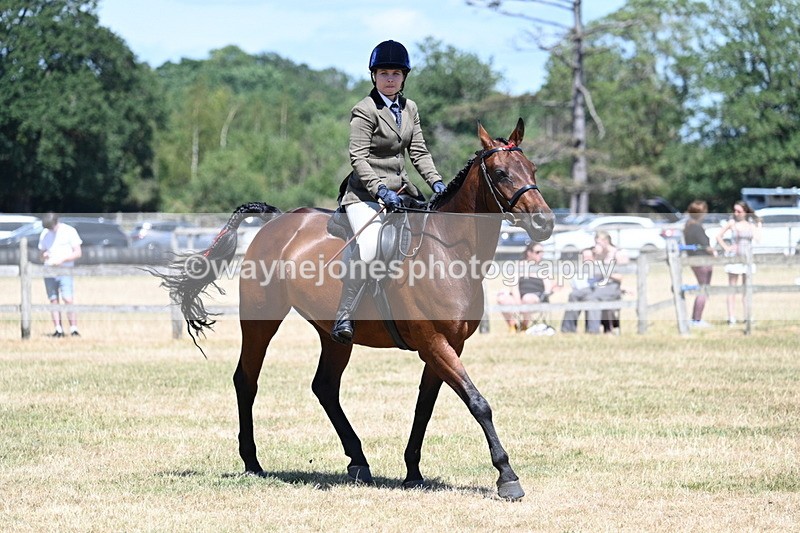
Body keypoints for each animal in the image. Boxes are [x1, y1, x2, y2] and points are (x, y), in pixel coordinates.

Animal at [155, 118, 553, 501]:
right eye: (501, 173)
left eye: (532, 169)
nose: (544, 222)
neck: (448, 251)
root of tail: (278, 222)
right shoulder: (434, 343)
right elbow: (478, 402)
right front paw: (507, 476)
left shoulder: (448, 346)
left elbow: (424, 407)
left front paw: (413, 471)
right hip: (260, 322)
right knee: (246, 380)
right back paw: (252, 462)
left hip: (333, 336)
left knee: (324, 386)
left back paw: (358, 461)